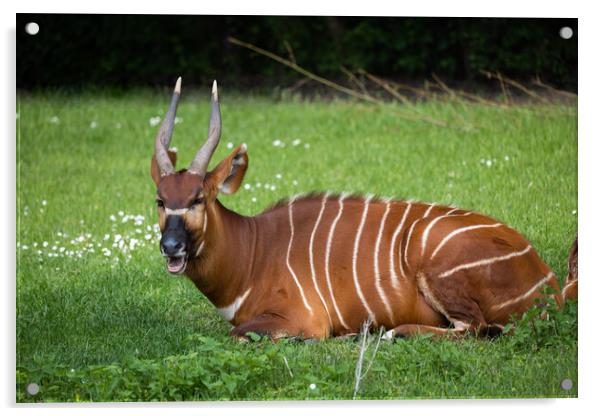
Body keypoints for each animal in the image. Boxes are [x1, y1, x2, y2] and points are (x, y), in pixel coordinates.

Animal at [150, 79, 576, 342]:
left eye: (198, 198)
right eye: (160, 199)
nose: (170, 246)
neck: (252, 252)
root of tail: (550, 284)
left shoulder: (300, 318)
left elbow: (239, 335)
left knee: (476, 328)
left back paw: (391, 333)